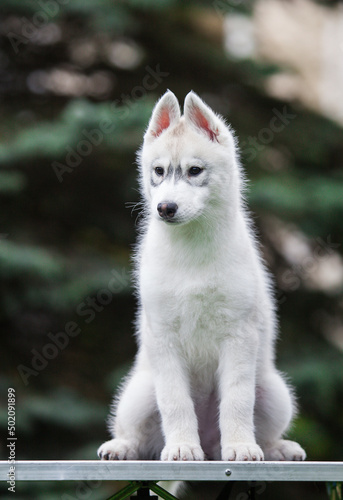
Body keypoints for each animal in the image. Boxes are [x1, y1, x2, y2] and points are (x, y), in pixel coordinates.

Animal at [98, 91, 308, 464]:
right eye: (158, 171)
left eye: (194, 171)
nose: (165, 208)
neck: (191, 247)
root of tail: (211, 445)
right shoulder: (163, 337)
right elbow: (175, 402)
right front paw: (182, 446)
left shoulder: (239, 335)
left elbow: (237, 400)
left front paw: (241, 447)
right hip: (138, 394)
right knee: (139, 435)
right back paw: (123, 446)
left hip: (275, 392)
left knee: (264, 428)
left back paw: (276, 448)